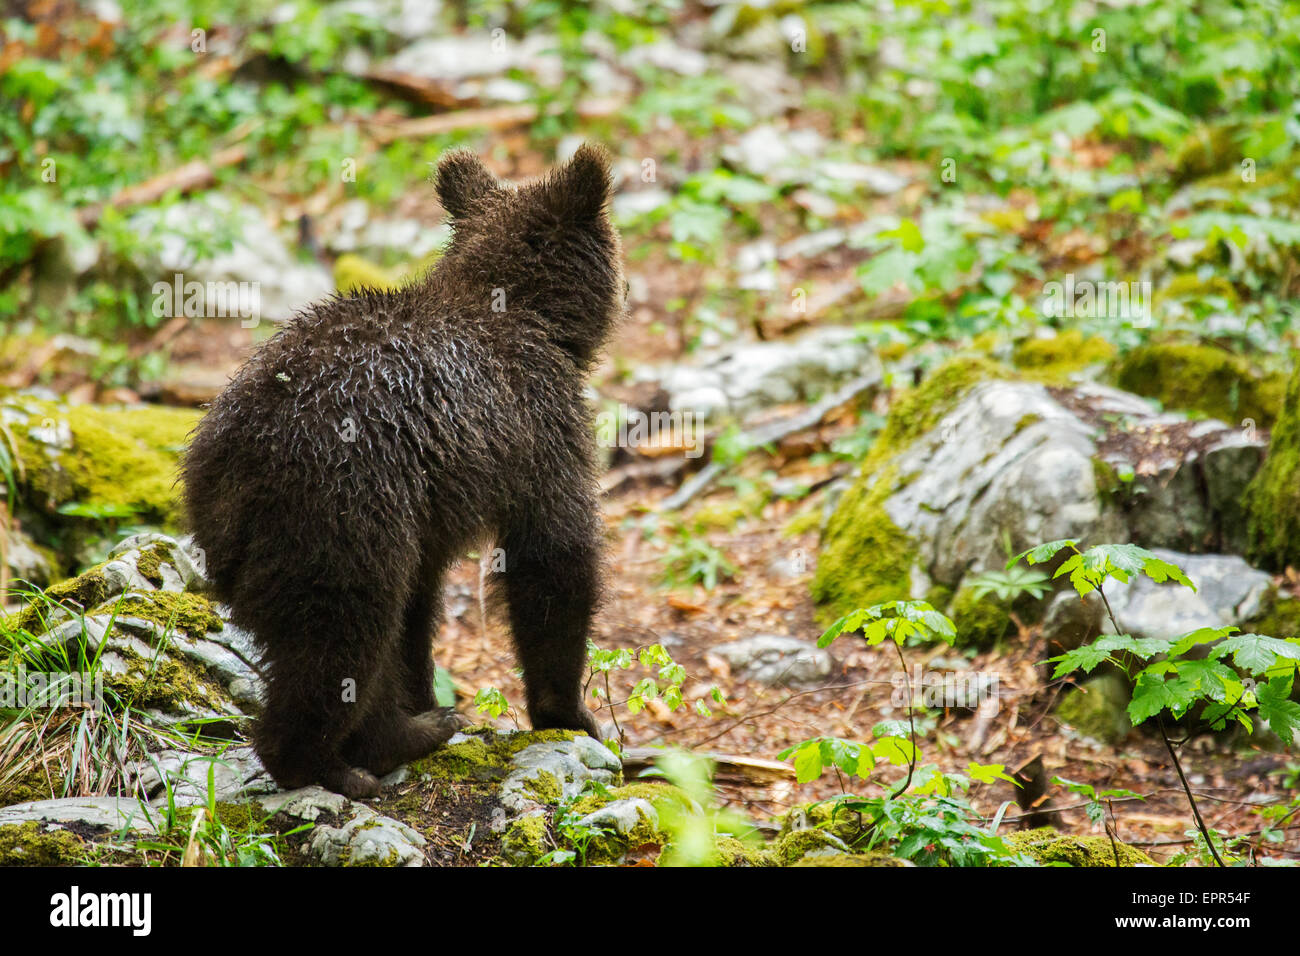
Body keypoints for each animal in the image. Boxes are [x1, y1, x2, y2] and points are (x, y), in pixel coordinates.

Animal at [182, 145, 623, 799]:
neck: (528, 314)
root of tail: (228, 461)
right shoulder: (540, 431)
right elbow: (554, 557)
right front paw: (571, 713)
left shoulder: (432, 509)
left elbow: (419, 616)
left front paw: (424, 691)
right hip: (340, 514)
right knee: (342, 641)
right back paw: (348, 759)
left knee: (367, 635)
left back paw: (408, 728)